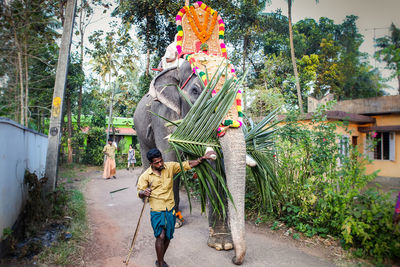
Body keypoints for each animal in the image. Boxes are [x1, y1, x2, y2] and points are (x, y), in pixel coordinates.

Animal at [134, 59, 247, 264]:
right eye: (195, 91)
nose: (235, 259)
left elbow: (215, 170)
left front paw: (222, 244)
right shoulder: (161, 116)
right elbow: (169, 157)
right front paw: (174, 221)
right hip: (139, 128)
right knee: (147, 157)